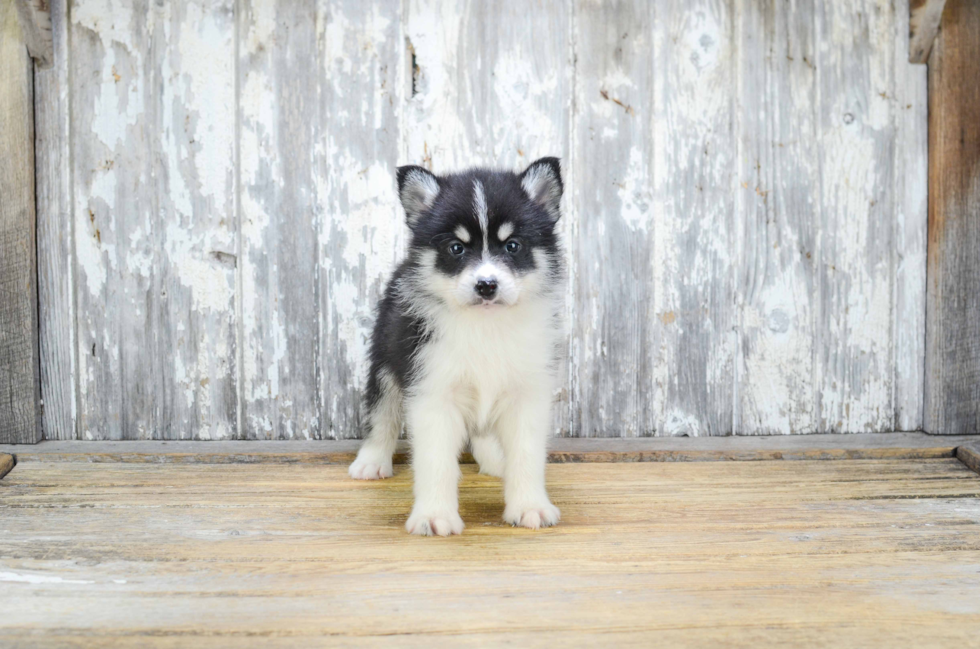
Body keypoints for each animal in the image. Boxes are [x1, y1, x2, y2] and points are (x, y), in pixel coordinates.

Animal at [350, 157, 568, 536]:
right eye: (457, 248)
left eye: (512, 245)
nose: (486, 285)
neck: (485, 326)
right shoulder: (431, 391)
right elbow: (436, 461)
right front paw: (435, 516)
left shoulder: (527, 394)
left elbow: (527, 456)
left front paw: (530, 507)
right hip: (386, 361)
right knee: (383, 414)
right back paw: (372, 461)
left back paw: (494, 460)